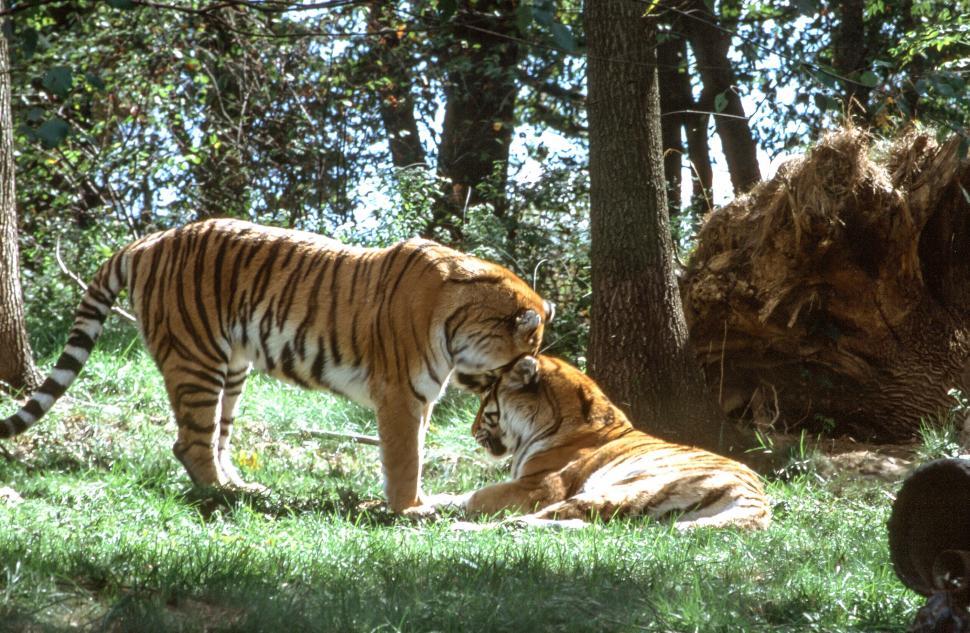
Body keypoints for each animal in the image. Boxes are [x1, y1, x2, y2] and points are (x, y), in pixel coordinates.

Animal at [1, 219, 554, 513]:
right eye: (527, 348)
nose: (529, 370)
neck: (458, 319)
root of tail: (151, 239)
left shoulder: (415, 400)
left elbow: (409, 455)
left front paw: (412, 504)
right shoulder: (400, 394)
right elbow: (404, 459)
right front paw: (410, 510)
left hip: (232, 369)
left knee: (217, 436)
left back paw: (242, 485)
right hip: (197, 359)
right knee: (189, 442)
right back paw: (224, 495)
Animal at [435, 355, 770, 529]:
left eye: (486, 402)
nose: (471, 429)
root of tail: (755, 497)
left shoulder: (537, 487)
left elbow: (476, 495)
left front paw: (446, 508)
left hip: (621, 489)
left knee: (527, 520)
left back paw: (460, 527)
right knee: (580, 524)